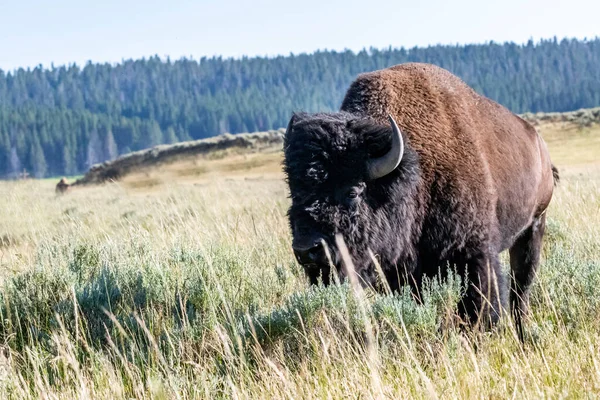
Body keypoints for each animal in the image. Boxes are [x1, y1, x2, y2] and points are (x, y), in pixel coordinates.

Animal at [284, 61, 556, 332]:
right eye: (294, 193)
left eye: (353, 191)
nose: (306, 250)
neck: (415, 173)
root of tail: (538, 142)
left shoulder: (475, 254)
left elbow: (478, 305)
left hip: (534, 226)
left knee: (521, 287)